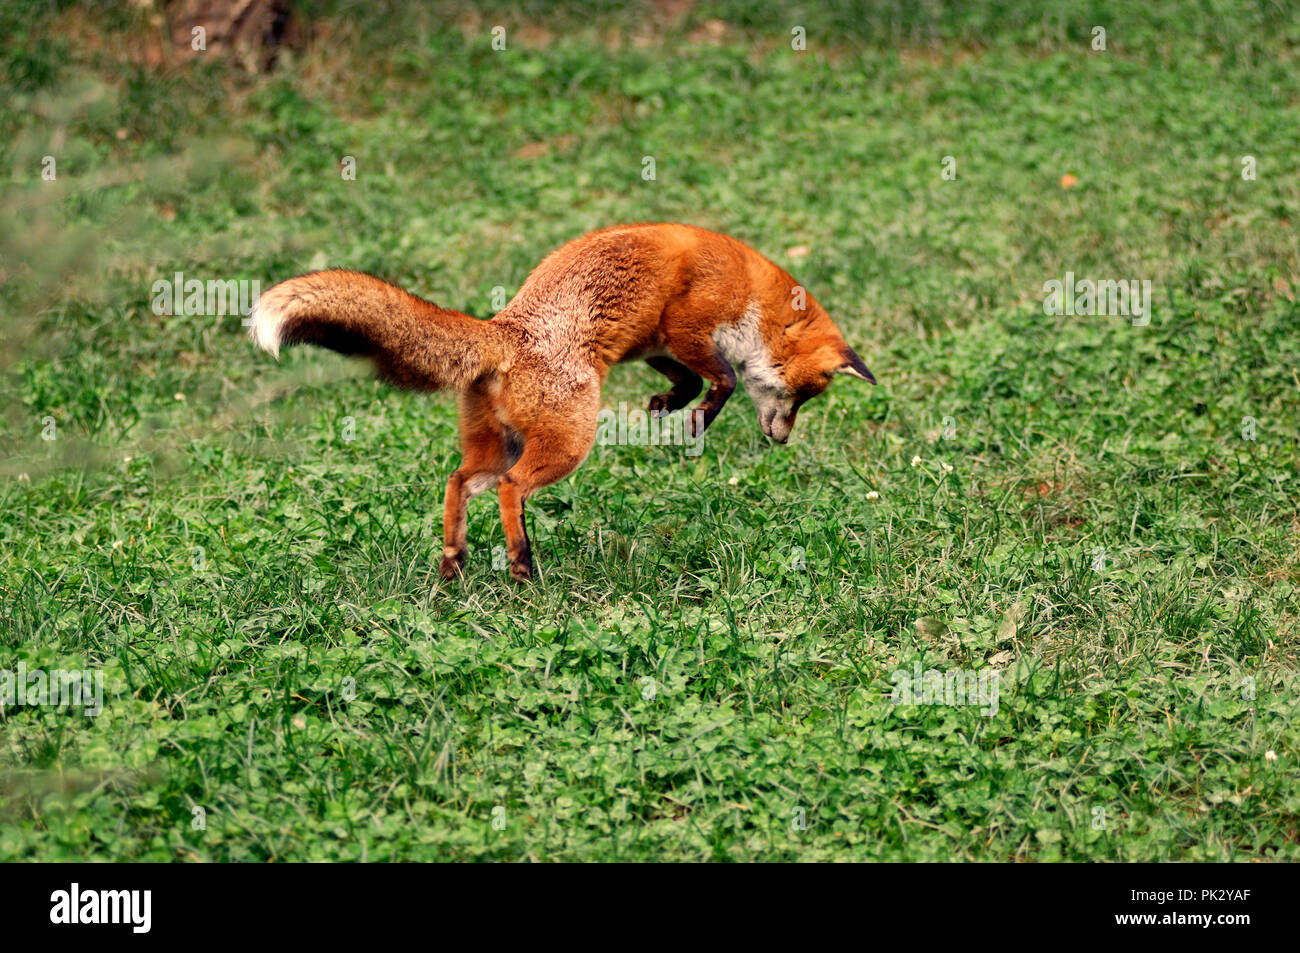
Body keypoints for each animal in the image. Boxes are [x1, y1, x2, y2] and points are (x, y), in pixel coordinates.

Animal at [245, 223, 873, 579]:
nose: (781, 439)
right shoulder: (688, 328)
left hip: (498, 446)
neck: (752, 292)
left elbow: (692, 380)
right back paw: (522, 567)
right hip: (568, 443)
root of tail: (503, 328)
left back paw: (453, 567)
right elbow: (723, 382)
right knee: (509, 489)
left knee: (458, 481)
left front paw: (667, 405)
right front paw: (696, 421)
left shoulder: (654, 344)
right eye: (804, 396)